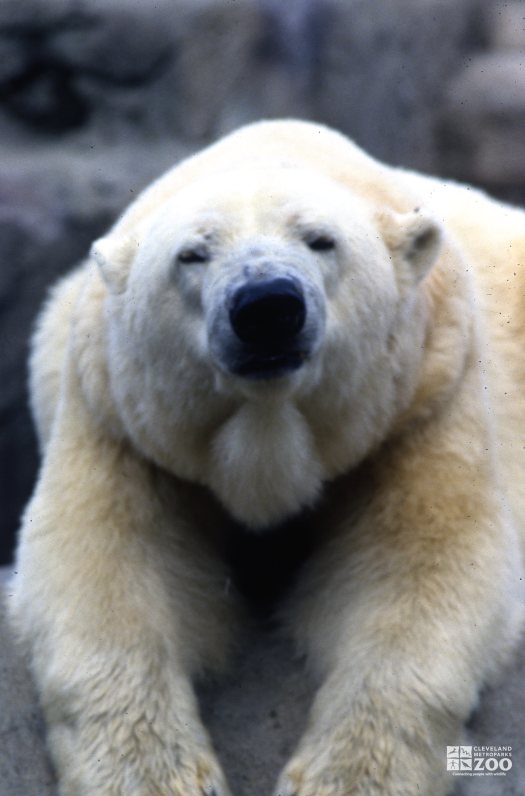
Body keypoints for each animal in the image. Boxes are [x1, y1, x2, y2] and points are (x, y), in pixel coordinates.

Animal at [7, 119, 524, 796]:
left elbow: (424, 564)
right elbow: (102, 563)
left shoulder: (425, 394)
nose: (267, 306)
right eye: (192, 254)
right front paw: (158, 775)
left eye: (321, 240)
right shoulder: (117, 415)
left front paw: (345, 776)